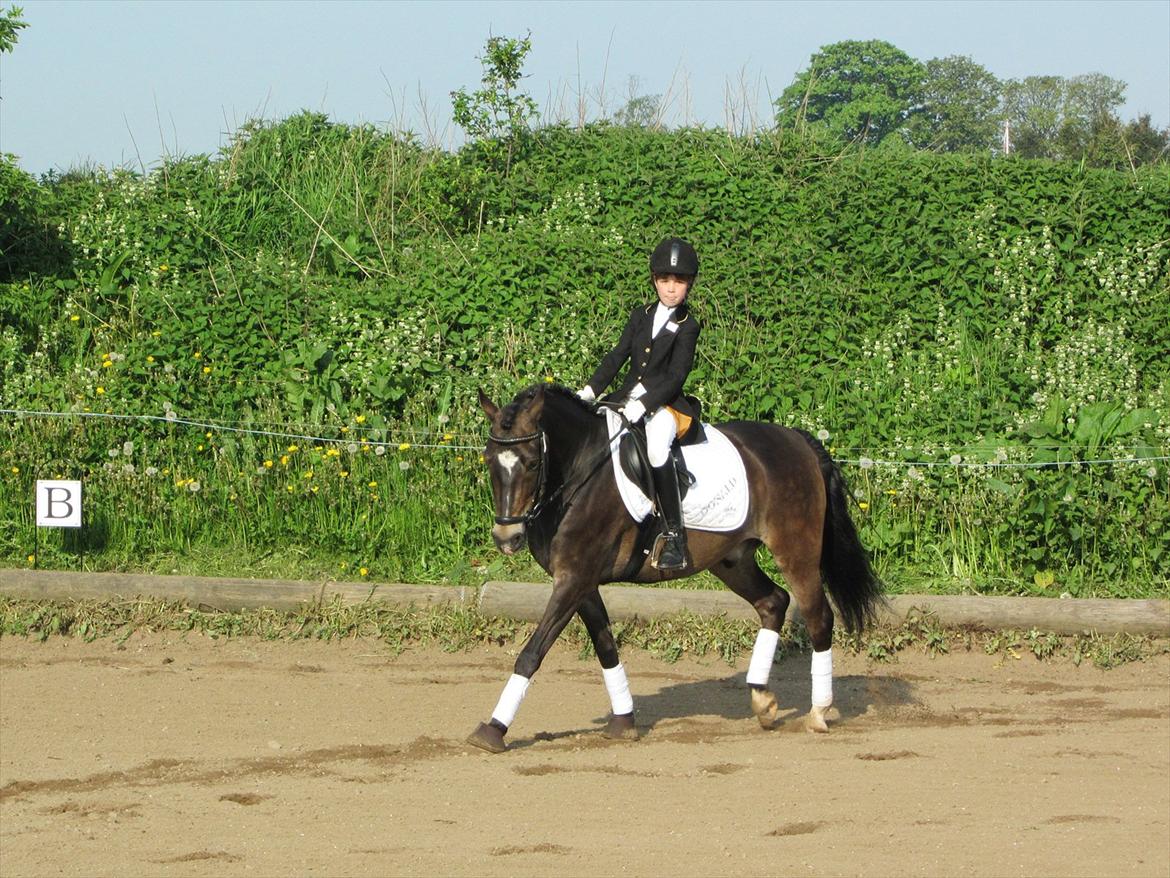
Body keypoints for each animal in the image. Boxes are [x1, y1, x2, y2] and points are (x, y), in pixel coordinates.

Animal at [468, 383, 883, 753]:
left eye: (531, 462)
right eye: (488, 460)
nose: (506, 538)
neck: (579, 471)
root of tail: (798, 440)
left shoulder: (574, 578)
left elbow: (532, 652)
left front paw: (493, 730)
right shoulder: (580, 582)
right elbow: (606, 647)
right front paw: (624, 722)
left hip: (796, 550)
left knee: (818, 617)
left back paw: (818, 713)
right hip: (732, 560)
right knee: (774, 602)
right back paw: (762, 702)